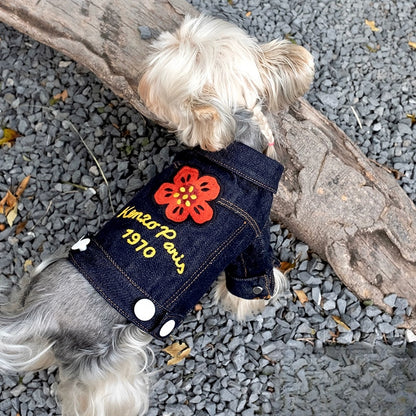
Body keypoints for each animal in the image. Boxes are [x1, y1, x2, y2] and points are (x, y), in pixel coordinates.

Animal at [0, 14, 312, 414]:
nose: (160, 36)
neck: (235, 141)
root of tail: (42, 311)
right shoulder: (253, 236)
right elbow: (252, 281)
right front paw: (253, 303)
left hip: (39, 279)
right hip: (112, 363)